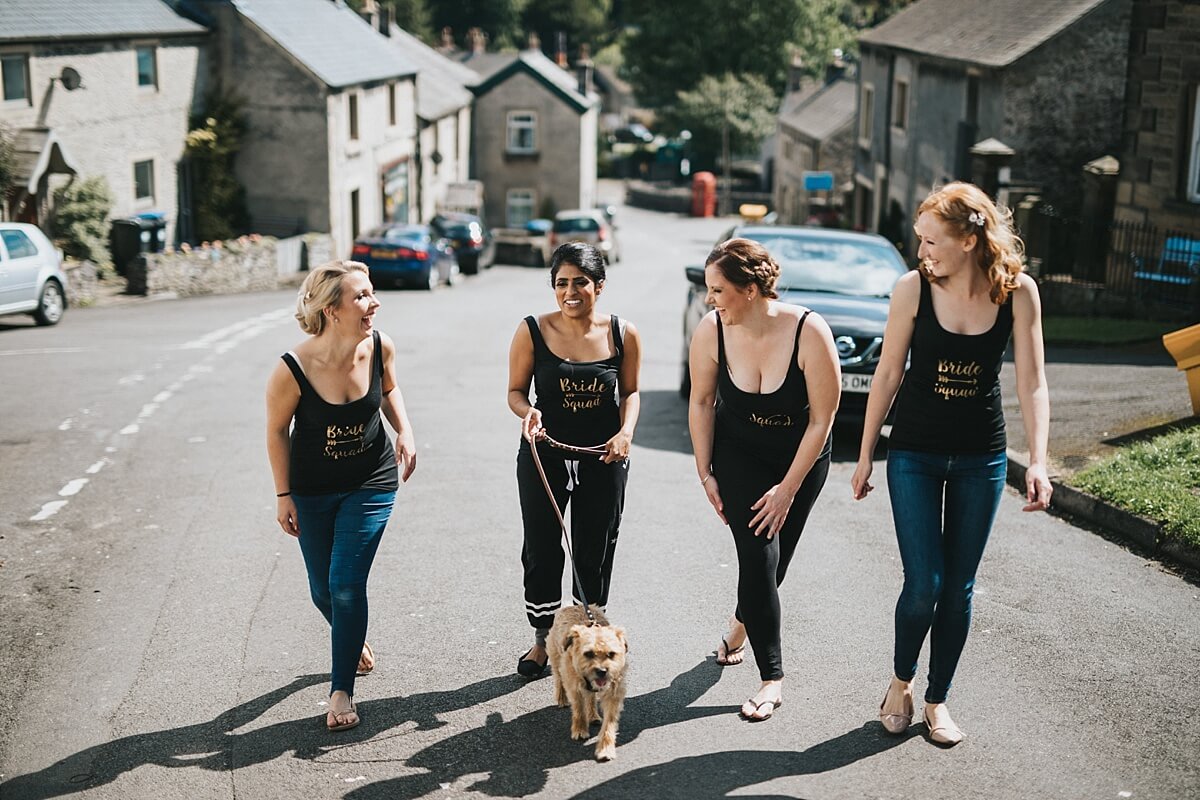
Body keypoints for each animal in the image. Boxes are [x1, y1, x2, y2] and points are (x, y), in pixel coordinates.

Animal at [549, 606, 633, 762]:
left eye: (611, 654)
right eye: (588, 654)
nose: (602, 671)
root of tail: (571, 606)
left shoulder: (613, 694)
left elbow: (609, 723)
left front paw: (605, 749)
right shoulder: (574, 686)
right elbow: (578, 708)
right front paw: (580, 729)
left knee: (591, 698)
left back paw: (593, 715)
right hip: (555, 656)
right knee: (558, 677)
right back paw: (561, 698)